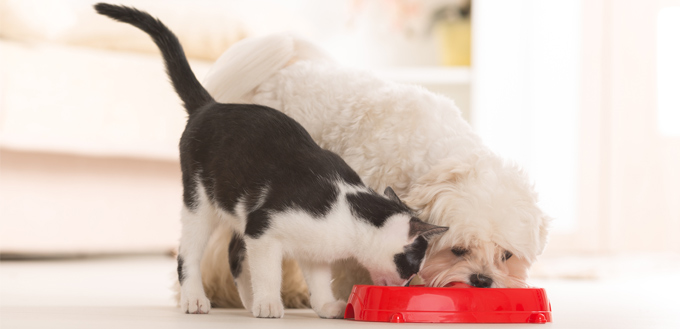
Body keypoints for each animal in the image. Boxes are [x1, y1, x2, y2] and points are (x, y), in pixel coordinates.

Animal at [93, 1, 448, 316]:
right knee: (189, 253)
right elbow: (267, 271)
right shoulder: (263, 229)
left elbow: (318, 280)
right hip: (200, 202)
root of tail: (210, 105)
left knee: (233, 253)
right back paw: (197, 299)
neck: (347, 210)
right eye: (413, 264)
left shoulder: (312, 250)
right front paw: (269, 303)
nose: (409, 284)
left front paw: (324, 306)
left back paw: (247, 301)